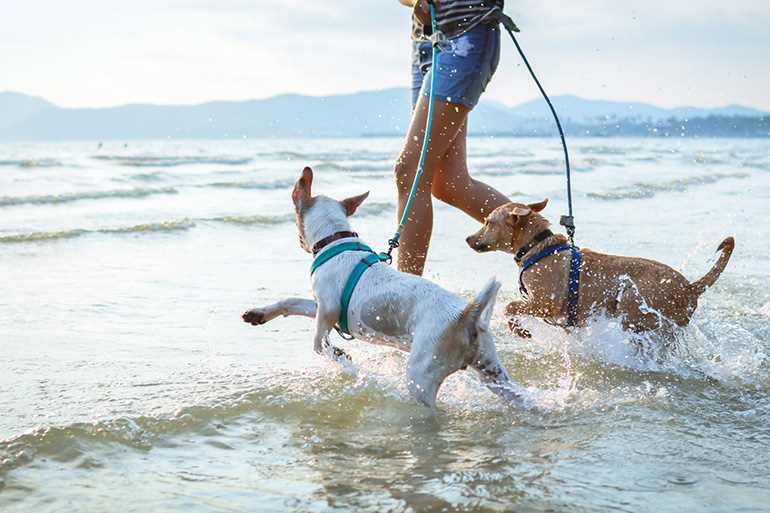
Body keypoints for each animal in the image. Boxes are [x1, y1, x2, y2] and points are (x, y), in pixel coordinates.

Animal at [242, 168, 520, 408]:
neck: (336, 240)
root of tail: (466, 317)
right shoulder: (321, 306)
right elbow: (291, 302)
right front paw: (259, 314)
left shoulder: (328, 309)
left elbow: (319, 343)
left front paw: (341, 357)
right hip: (493, 373)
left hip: (421, 376)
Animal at [462, 199, 732, 336]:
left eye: (487, 222)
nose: (467, 239)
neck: (536, 247)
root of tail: (690, 287)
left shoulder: (546, 304)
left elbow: (510, 306)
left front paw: (519, 330)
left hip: (633, 305)